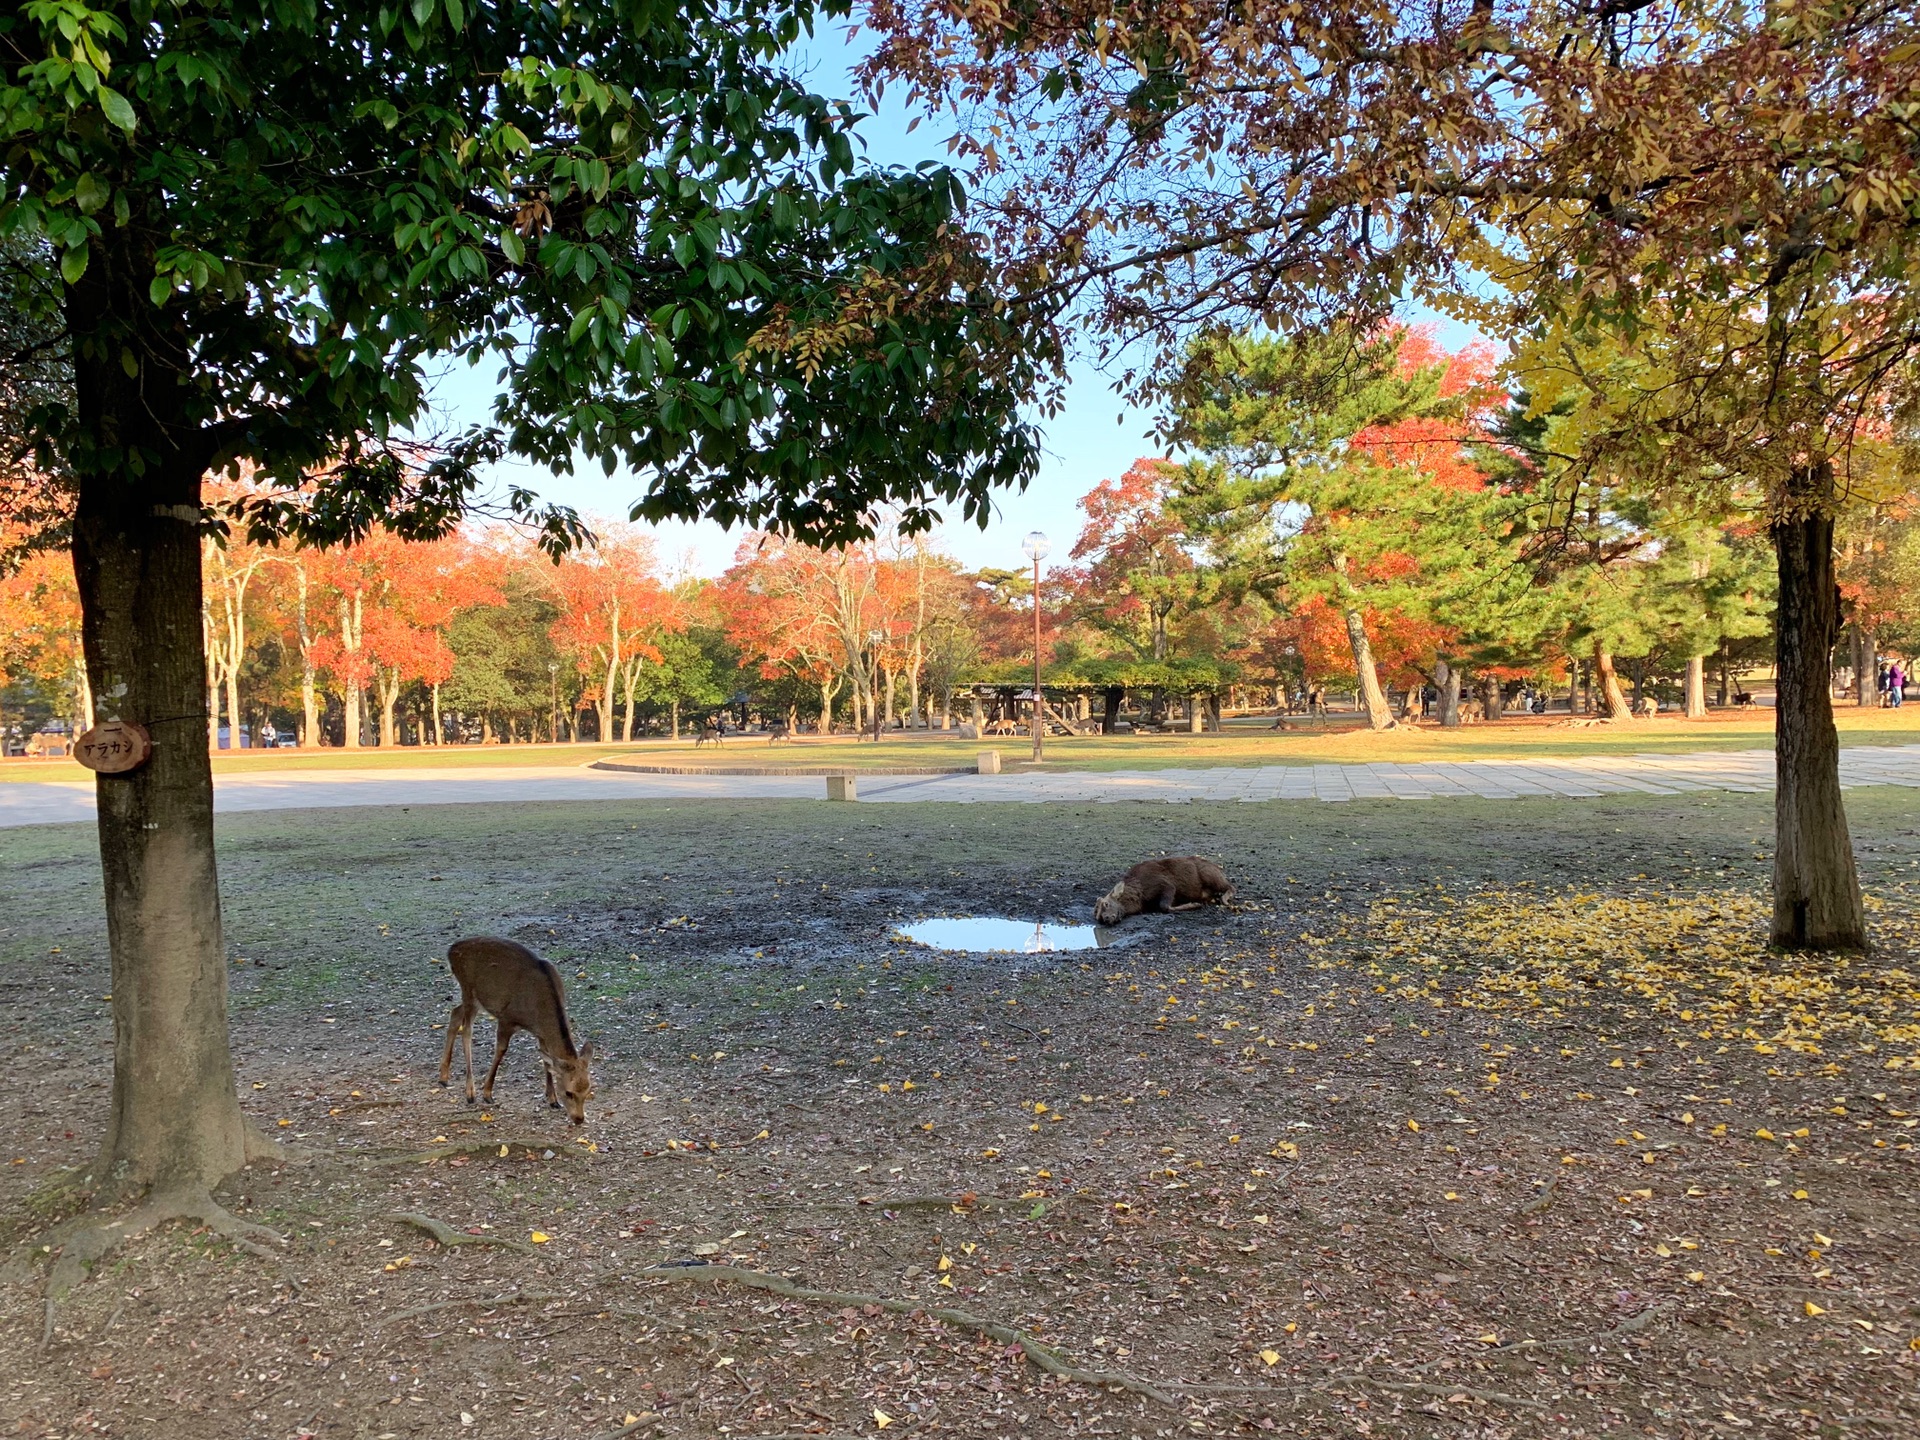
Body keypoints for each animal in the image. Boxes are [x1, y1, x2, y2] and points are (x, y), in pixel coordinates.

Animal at [439, 936, 595, 1128]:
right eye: (568, 1092)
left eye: (588, 1090)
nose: (579, 1119)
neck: (538, 1011)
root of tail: (450, 951)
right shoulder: (507, 1018)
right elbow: (501, 1050)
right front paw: (487, 1093)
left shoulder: (540, 1033)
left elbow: (546, 1061)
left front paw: (552, 1099)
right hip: (468, 988)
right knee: (467, 1030)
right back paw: (470, 1092)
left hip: (476, 999)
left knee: (454, 1013)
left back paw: (443, 1076)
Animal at [1090, 864, 1236, 929]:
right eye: (1099, 918)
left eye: (1106, 903)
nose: (1106, 918)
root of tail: (1217, 867)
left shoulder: (1167, 885)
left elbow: (1165, 906)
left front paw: (1194, 904)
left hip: (1210, 874)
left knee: (1231, 886)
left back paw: (1224, 898)